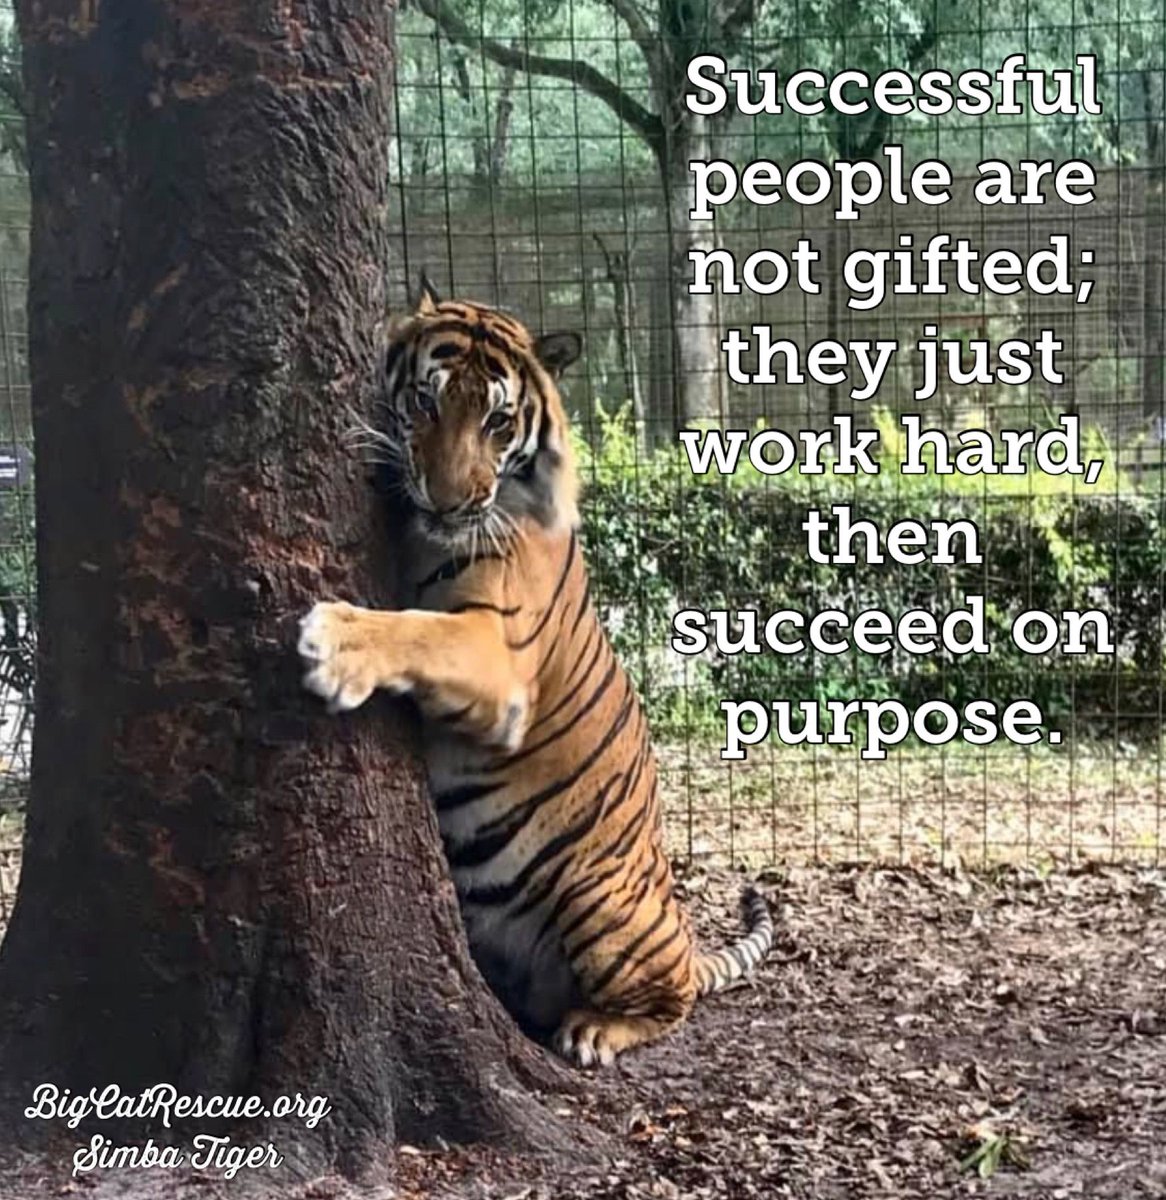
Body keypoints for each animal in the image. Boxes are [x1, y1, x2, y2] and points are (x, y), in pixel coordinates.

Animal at [297, 280, 774, 1067]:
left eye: (497, 421)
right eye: (425, 402)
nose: (450, 501)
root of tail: (681, 931)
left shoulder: (499, 658)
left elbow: (420, 629)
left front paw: (334, 641)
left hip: (601, 901)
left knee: (670, 998)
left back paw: (593, 1030)